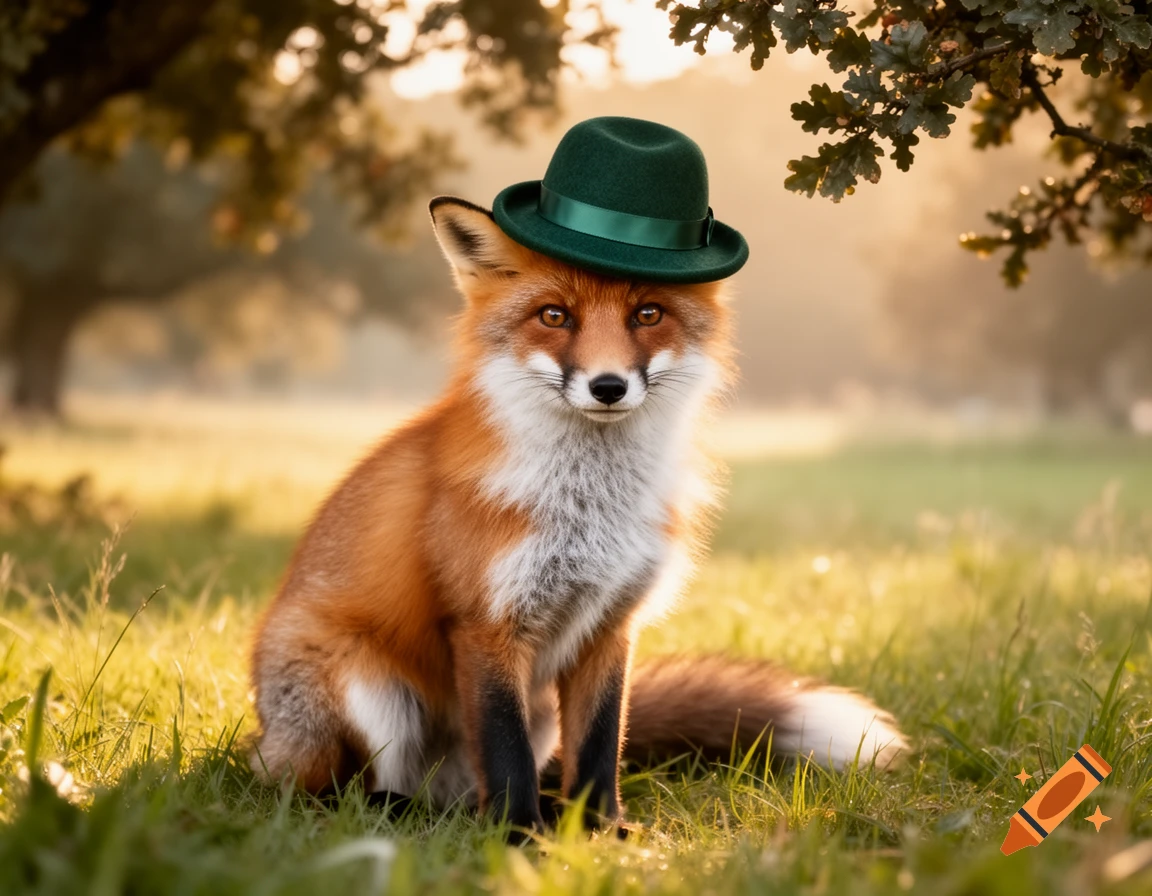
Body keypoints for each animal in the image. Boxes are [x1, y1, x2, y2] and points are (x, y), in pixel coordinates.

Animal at [249, 195, 907, 834]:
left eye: (648, 314)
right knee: (335, 795)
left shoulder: (612, 623)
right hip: (364, 688)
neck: (590, 511)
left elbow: (598, 745)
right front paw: (518, 837)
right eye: (554, 316)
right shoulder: (487, 624)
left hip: (532, 716)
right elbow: (505, 748)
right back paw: (422, 814)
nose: (608, 386)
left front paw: (599, 831)